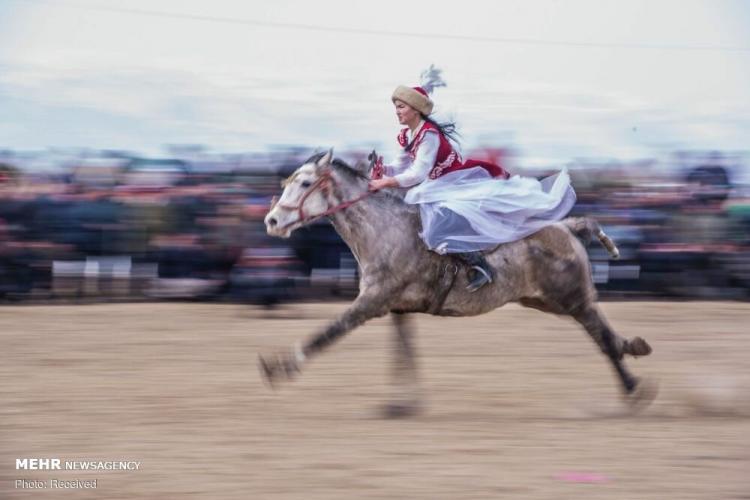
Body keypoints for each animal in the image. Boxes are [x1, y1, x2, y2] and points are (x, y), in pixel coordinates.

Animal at [262, 150, 656, 416]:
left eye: (306, 183)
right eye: (288, 182)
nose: (272, 220)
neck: (387, 228)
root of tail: (568, 226)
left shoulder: (371, 302)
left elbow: (329, 332)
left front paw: (280, 366)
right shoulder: (397, 307)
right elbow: (405, 352)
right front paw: (403, 403)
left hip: (571, 298)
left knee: (602, 339)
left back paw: (634, 387)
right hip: (548, 300)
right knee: (603, 333)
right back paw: (634, 350)